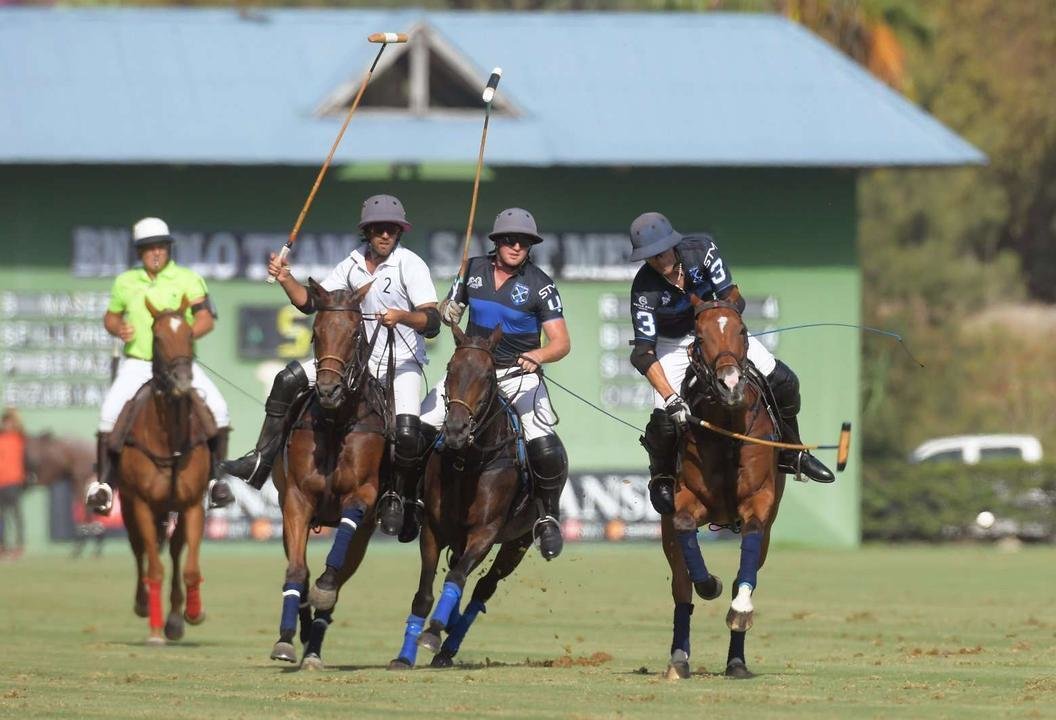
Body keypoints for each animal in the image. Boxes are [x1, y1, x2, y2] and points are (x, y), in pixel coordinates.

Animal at [116, 293, 213, 641]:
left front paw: (192, 613)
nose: (182, 381)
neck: (168, 438)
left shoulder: (193, 503)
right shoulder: (142, 504)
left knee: (172, 548)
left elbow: (191, 567)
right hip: (129, 506)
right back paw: (144, 604)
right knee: (141, 552)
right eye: (156, 337)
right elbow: (153, 567)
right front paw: (155, 628)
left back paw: (174, 618)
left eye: (189, 333)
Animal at [268, 278, 392, 667]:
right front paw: (285, 639)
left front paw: (322, 593)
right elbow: (297, 570)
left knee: (338, 579)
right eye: (316, 332)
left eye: (354, 332)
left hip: (363, 538)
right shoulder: (296, 501)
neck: (337, 423)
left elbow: (330, 578)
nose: (328, 390)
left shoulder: (363, 495)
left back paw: (315, 644)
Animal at [388, 323, 536, 671]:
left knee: (482, 586)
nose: (455, 430)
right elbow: (424, 593)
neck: (467, 461)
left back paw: (447, 643)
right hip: (459, 536)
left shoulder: (485, 532)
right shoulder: (433, 529)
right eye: (451, 369)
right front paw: (404, 655)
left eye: (488, 375)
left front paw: (432, 634)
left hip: (518, 541)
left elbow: (456, 578)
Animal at [658, 297, 785, 679]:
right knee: (680, 586)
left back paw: (736, 661)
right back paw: (679, 659)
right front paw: (708, 583)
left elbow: (750, 549)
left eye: (742, 329)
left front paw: (741, 610)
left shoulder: (760, 502)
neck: (729, 427)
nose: (730, 384)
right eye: (700, 336)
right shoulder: (686, 501)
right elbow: (687, 534)